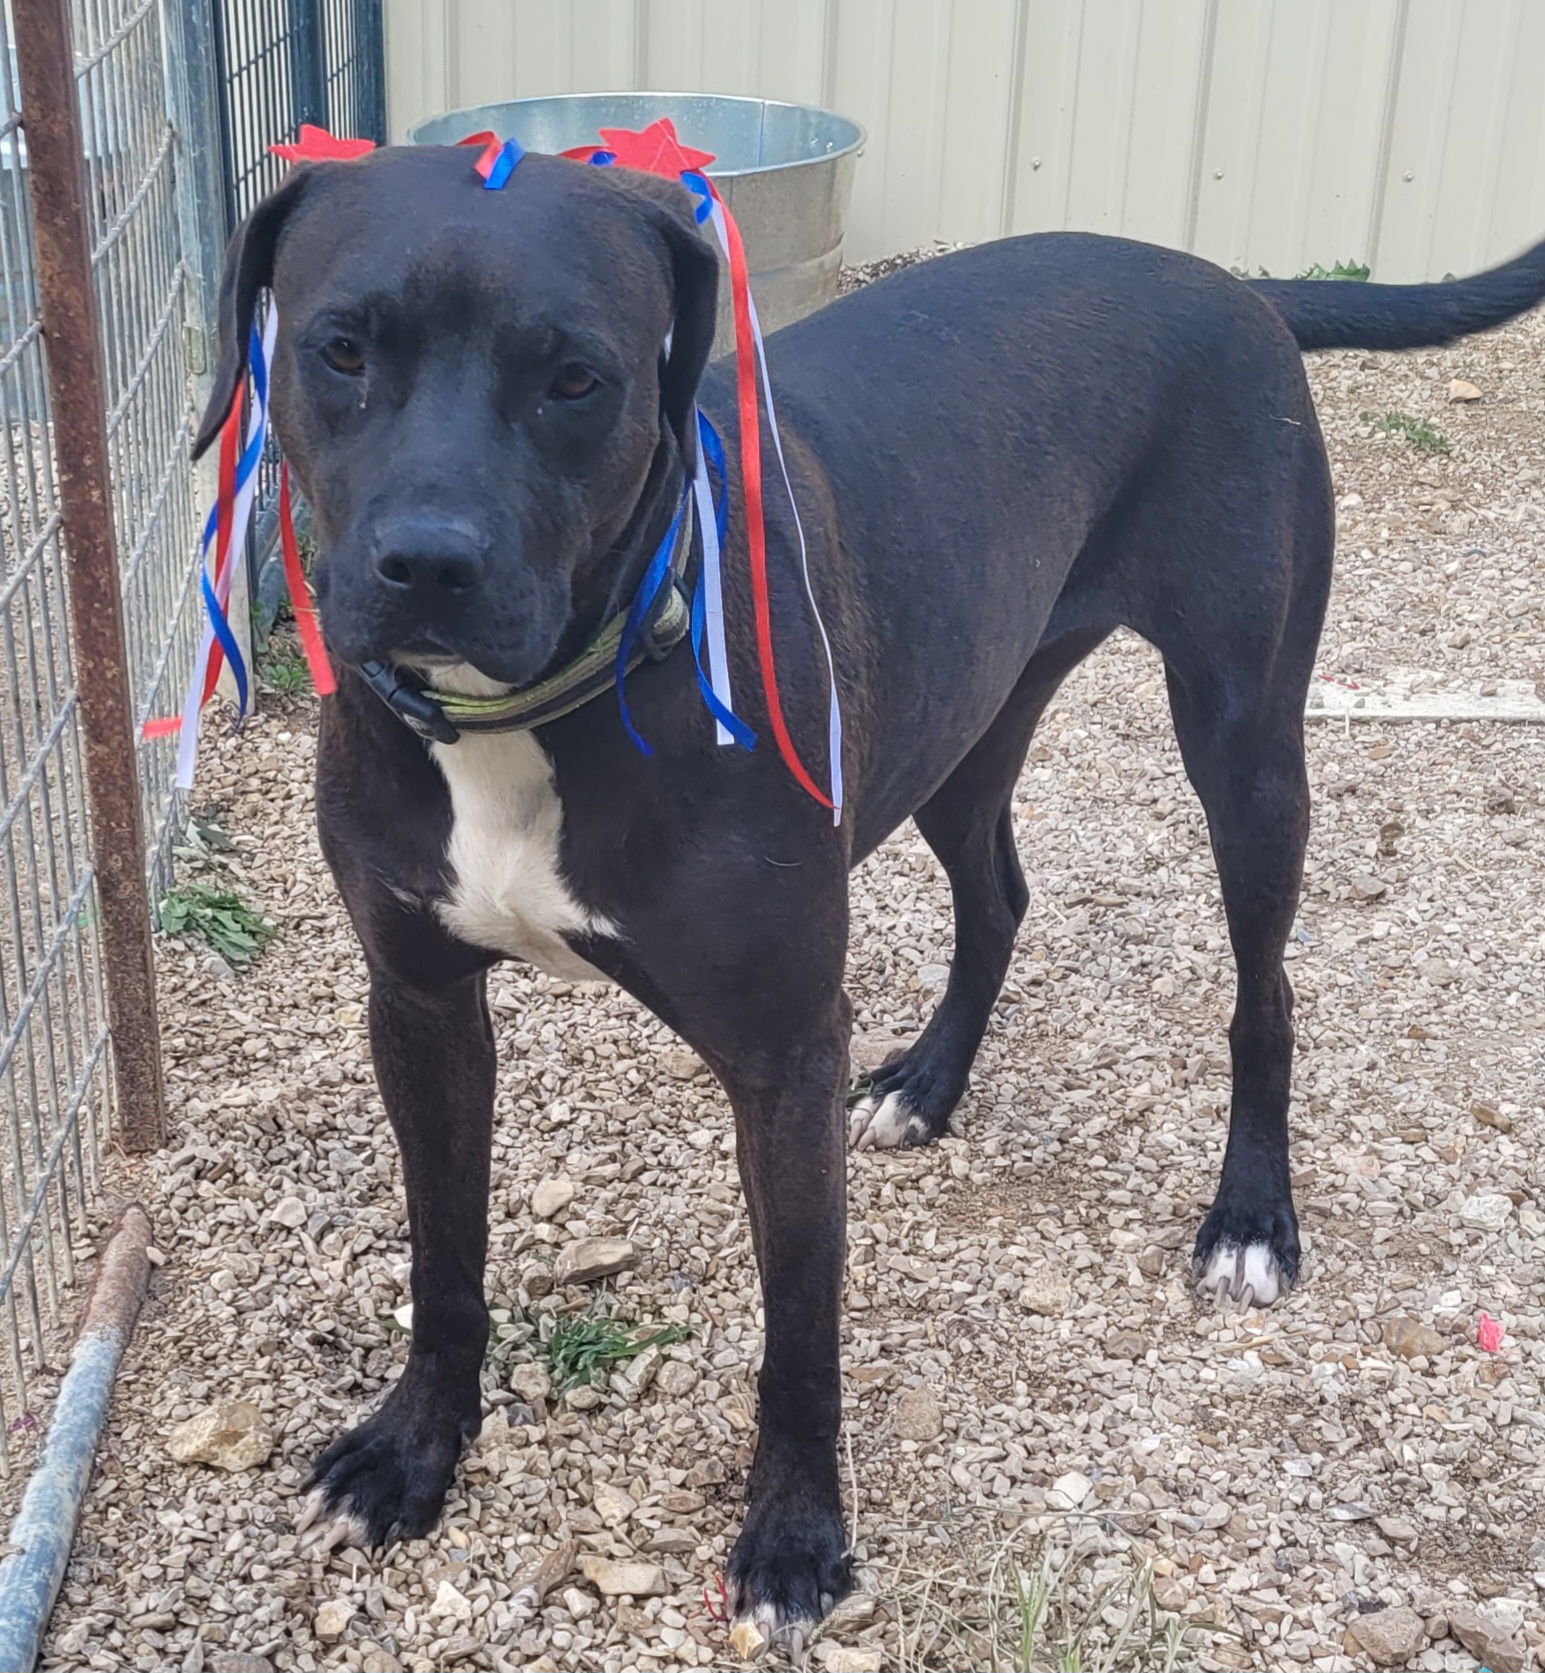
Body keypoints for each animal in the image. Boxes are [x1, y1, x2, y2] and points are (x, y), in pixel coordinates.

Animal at [193, 150, 1545, 1639]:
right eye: (340, 349)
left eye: (576, 378)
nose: (429, 563)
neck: (542, 709)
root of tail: (1226, 281)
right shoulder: (418, 1004)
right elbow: (442, 1257)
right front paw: (413, 1449)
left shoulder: (781, 1051)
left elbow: (800, 1323)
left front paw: (794, 1535)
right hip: (968, 722)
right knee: (999, 894)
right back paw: (929, 1085)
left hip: (1243, 742)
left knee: (1265, 988)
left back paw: (1251, 1214)